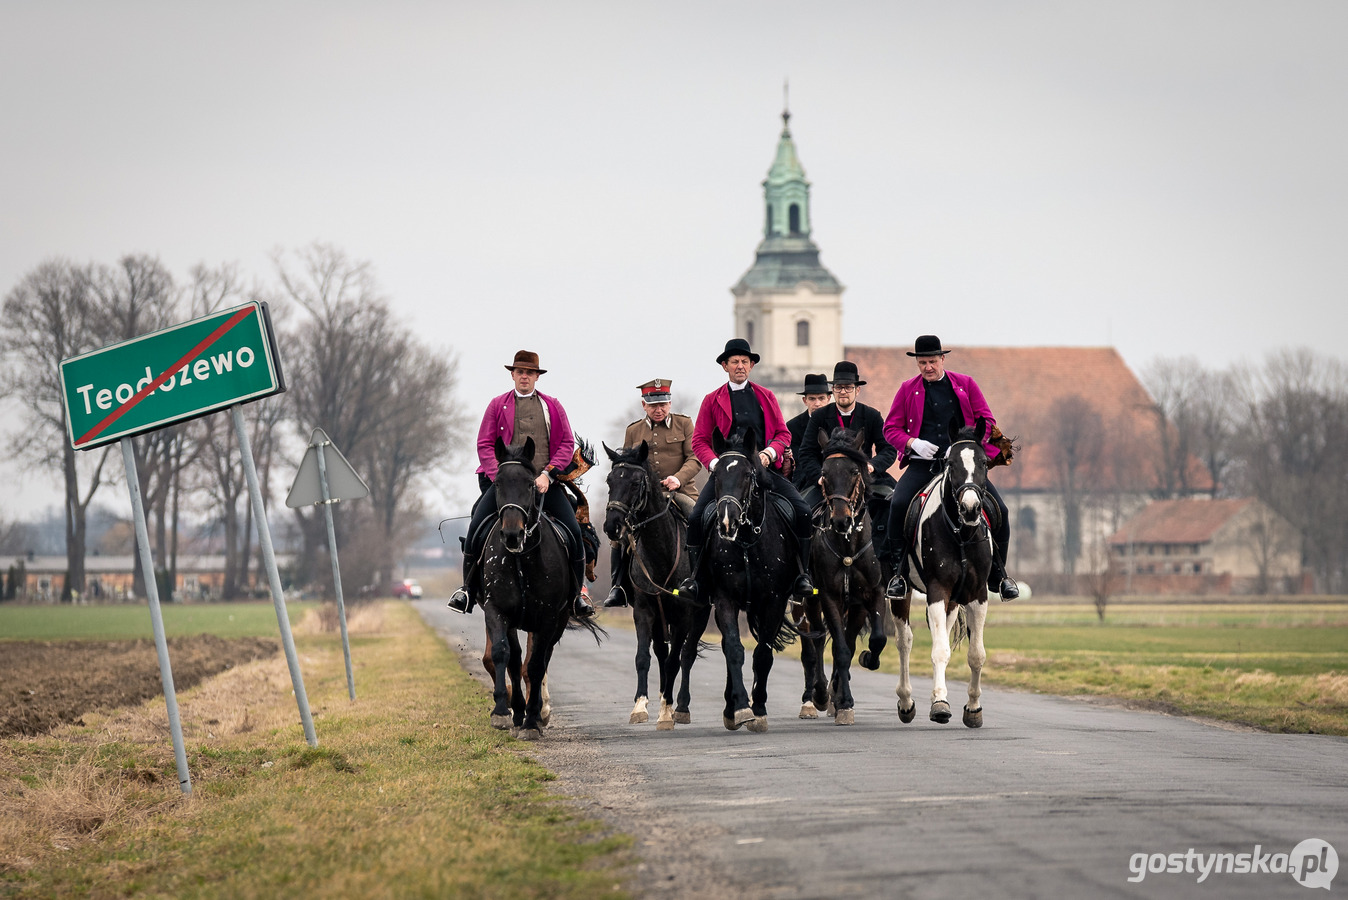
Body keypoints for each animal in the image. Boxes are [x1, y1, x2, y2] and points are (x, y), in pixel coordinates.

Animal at [477, 436, 598, 738]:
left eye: (531, 484)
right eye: (498, 483)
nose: (512, 534)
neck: (521, 559)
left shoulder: (547, 618)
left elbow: (534, 665)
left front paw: (532, 720)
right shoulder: (496, 611)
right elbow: (502, 655)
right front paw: (504, 711)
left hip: (556, 621)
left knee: (540, 661)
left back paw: (538, 712)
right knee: (517, 660)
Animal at [603, 441, 711, 732]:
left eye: (635, 483)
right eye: (609, 481)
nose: (611, 526)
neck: (660, 552)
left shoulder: (684, 616)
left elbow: (677, 660)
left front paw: (666, 713)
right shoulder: (644, 610)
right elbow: (644, 657)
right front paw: (641, 706)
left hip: (701, 614)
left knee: (686, 655)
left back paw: (680, 706)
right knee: (662, 653)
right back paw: (666, 699)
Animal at [695, 423, 798, 732]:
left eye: (748, 474)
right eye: (716, 474)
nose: (726, 521)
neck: (746, 542)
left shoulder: (774, 602)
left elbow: (763, 653)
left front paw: (759, 709)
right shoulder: (724, 599)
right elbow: (733, 649)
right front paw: (740, 707)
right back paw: (731, 707)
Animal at [792, 425, 889, 727]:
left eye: (855, 471)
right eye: (824, 473)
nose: (840, 520)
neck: (848, 544)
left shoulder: (869, 596)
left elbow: (871, 640)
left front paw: (867, 661)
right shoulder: (829, 596)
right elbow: (840, 650)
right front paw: (841, 701)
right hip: (805, 603)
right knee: (813, 645)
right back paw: (814, 697)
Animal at [889, 417, 997, 727]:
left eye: (985, 462)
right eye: (951, 462)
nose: (971, 508)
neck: (961, 534)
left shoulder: (977, 594)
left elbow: (976, 654)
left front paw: (973, 708)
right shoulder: (938, 590)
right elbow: (938, 651)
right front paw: (939, 704)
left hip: (953, 601)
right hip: (902, 594)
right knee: (905, 642)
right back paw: (906, 701)